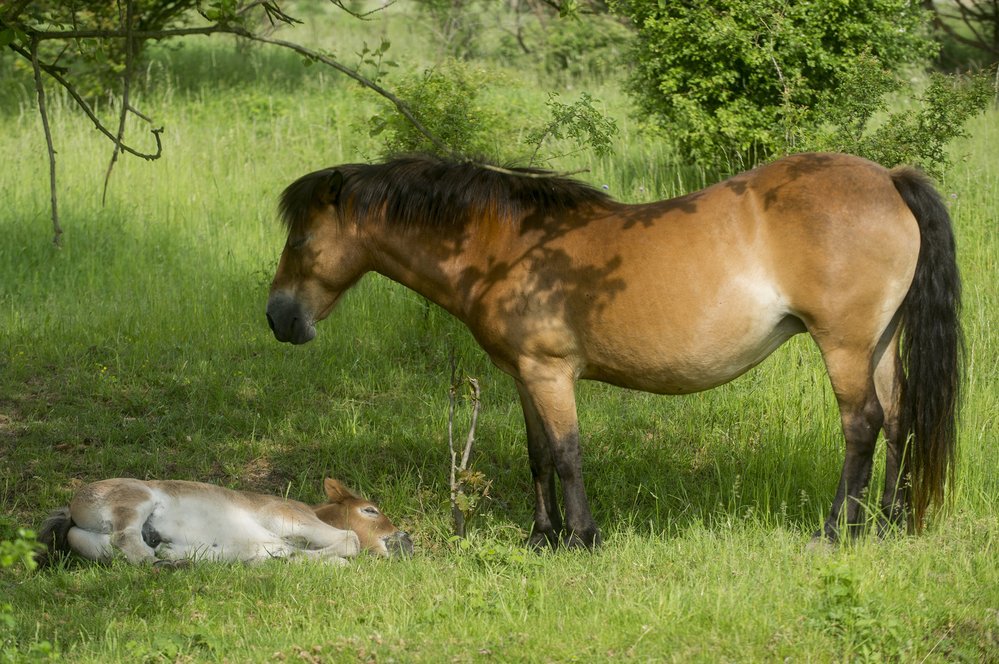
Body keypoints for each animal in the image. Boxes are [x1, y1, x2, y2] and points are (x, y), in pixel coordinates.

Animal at [266, 152, 960, 548]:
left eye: (300, 240)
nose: (279, 317)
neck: (510, 248)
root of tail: (887, 178)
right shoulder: (524, 375)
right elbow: (537, 455)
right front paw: (541, 536)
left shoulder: (551, 374)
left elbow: (568, 454)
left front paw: (582, 537)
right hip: (878, 343)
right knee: (898, 420)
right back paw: (887, 523)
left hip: (843, 344)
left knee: (862, 425)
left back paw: (837, 532)